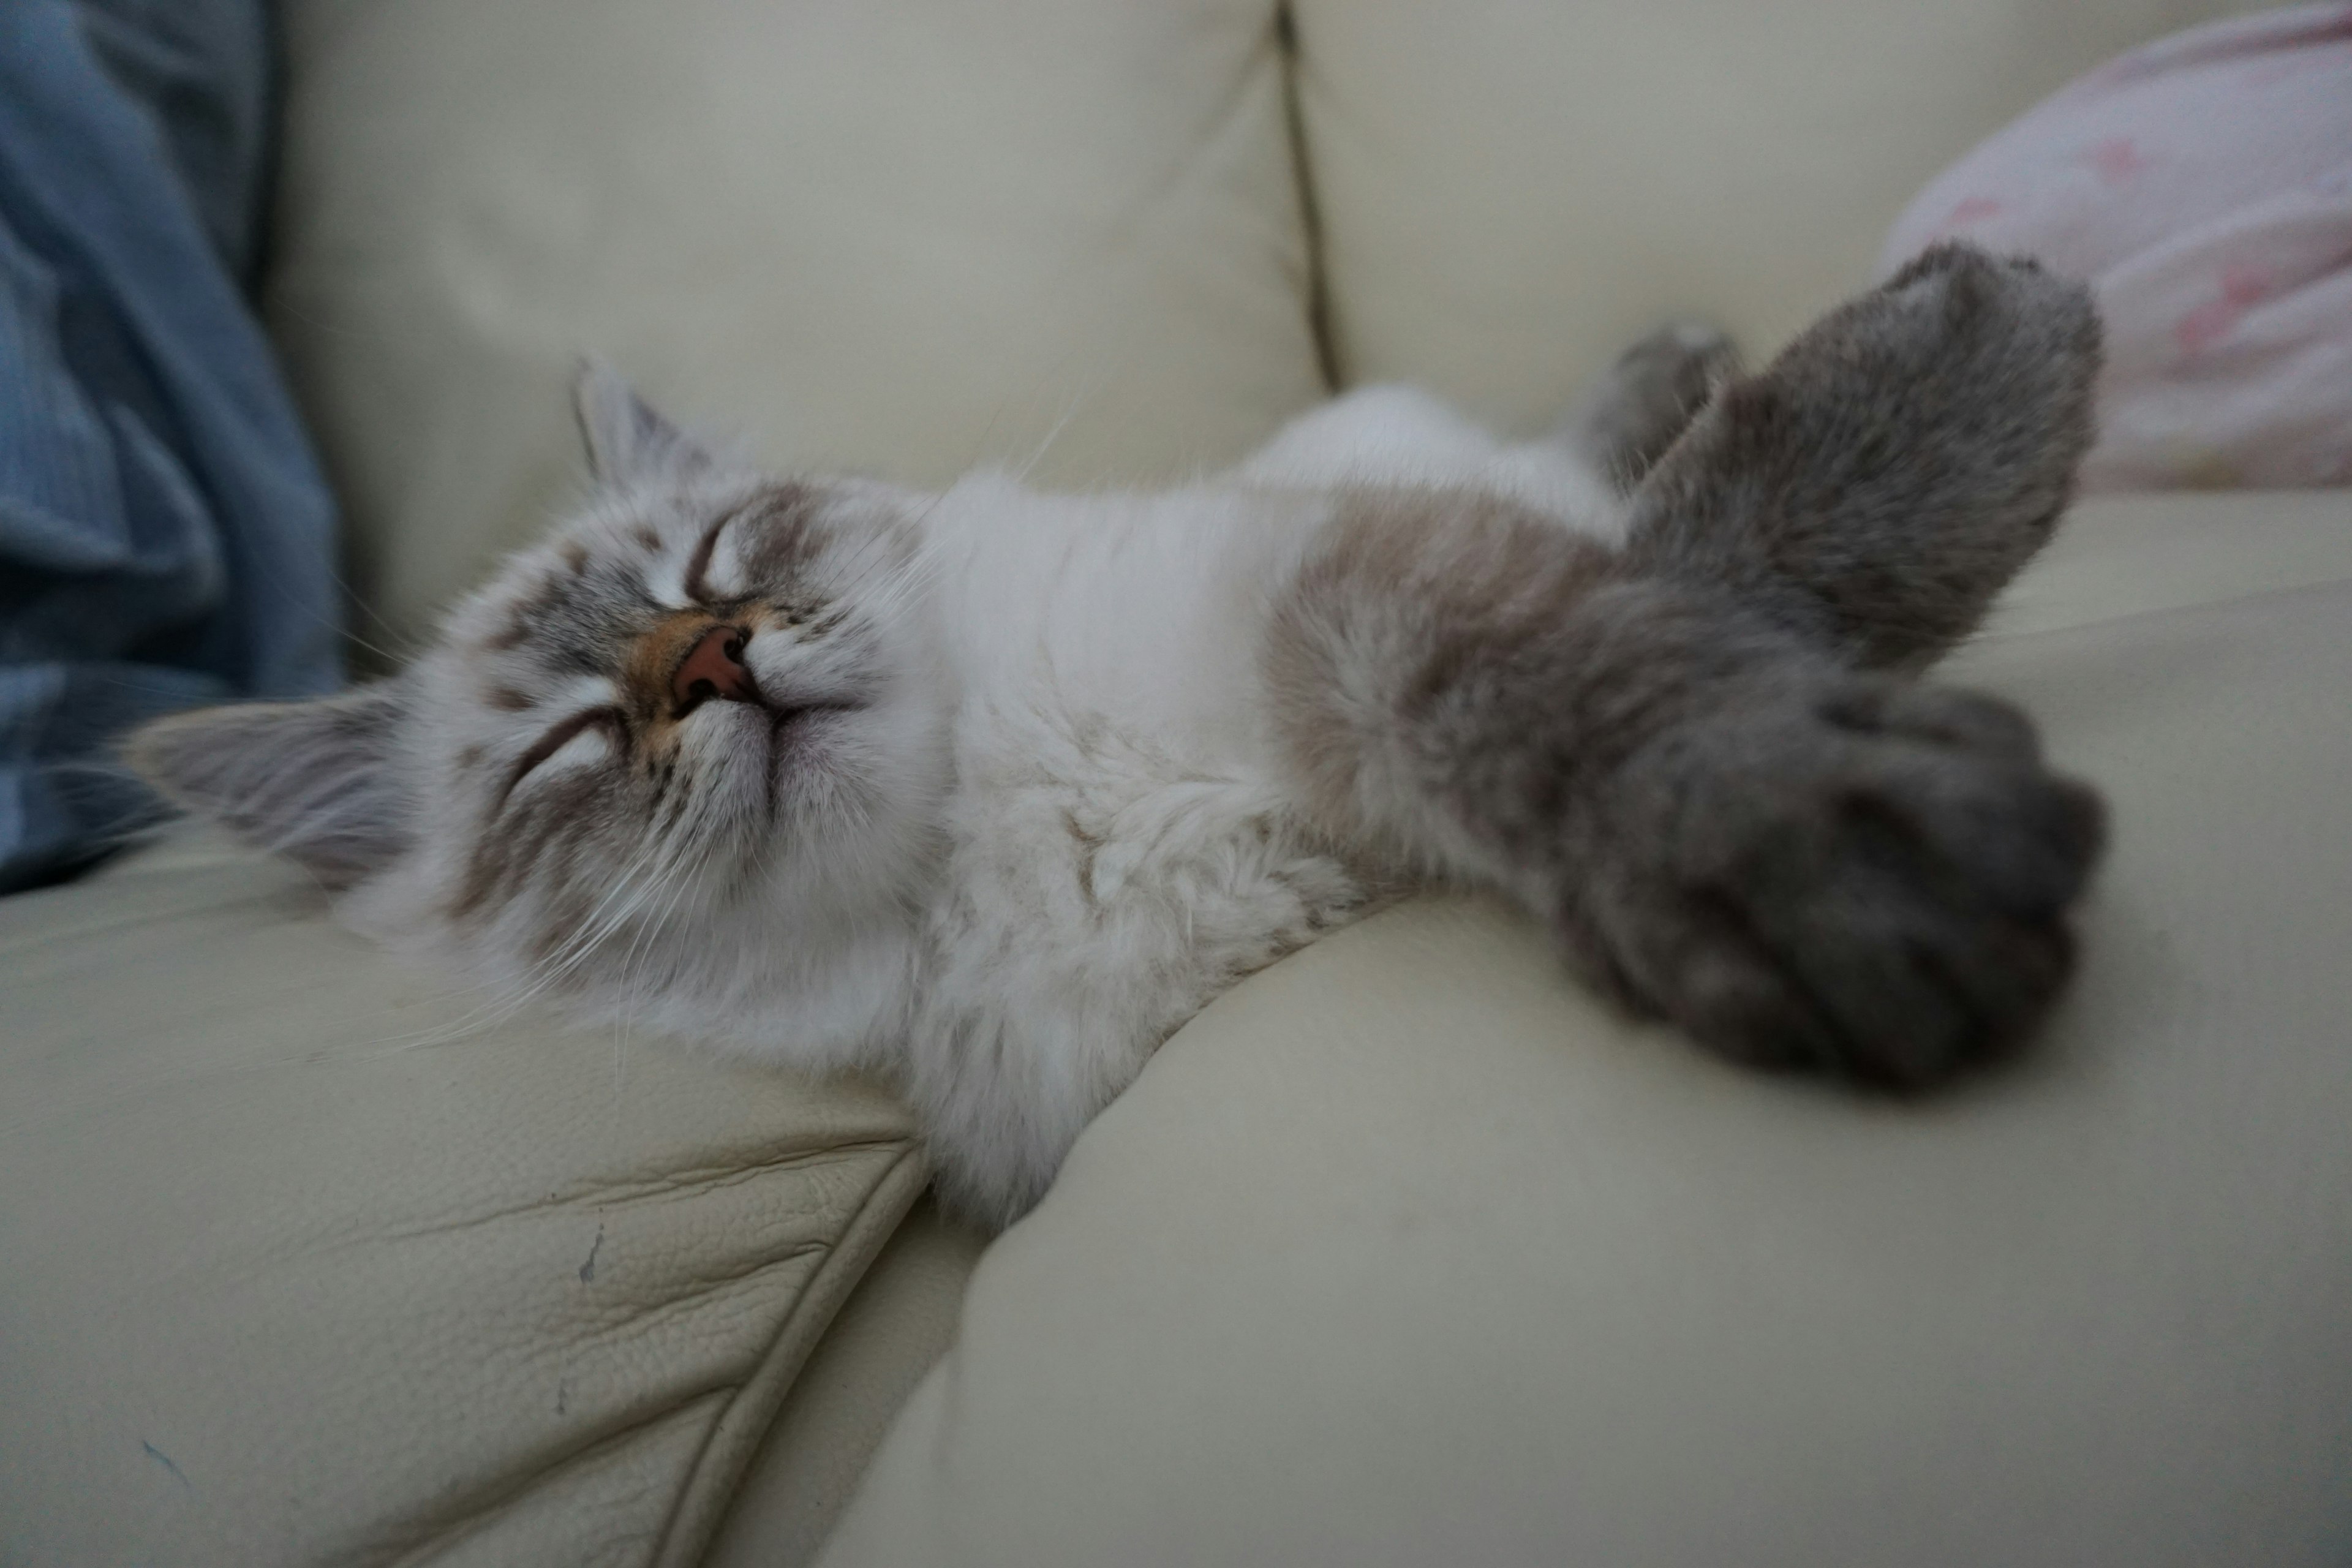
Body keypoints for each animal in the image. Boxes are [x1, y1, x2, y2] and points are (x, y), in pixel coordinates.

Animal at [133, 242, 2117, 1222]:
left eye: (714, 566)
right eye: (564, 744)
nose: (710, 664)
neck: (999, 811)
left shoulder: (1325, 591)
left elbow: (1616, 662)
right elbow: (1661, 608)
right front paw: (1835, 864)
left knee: (1573, 449)